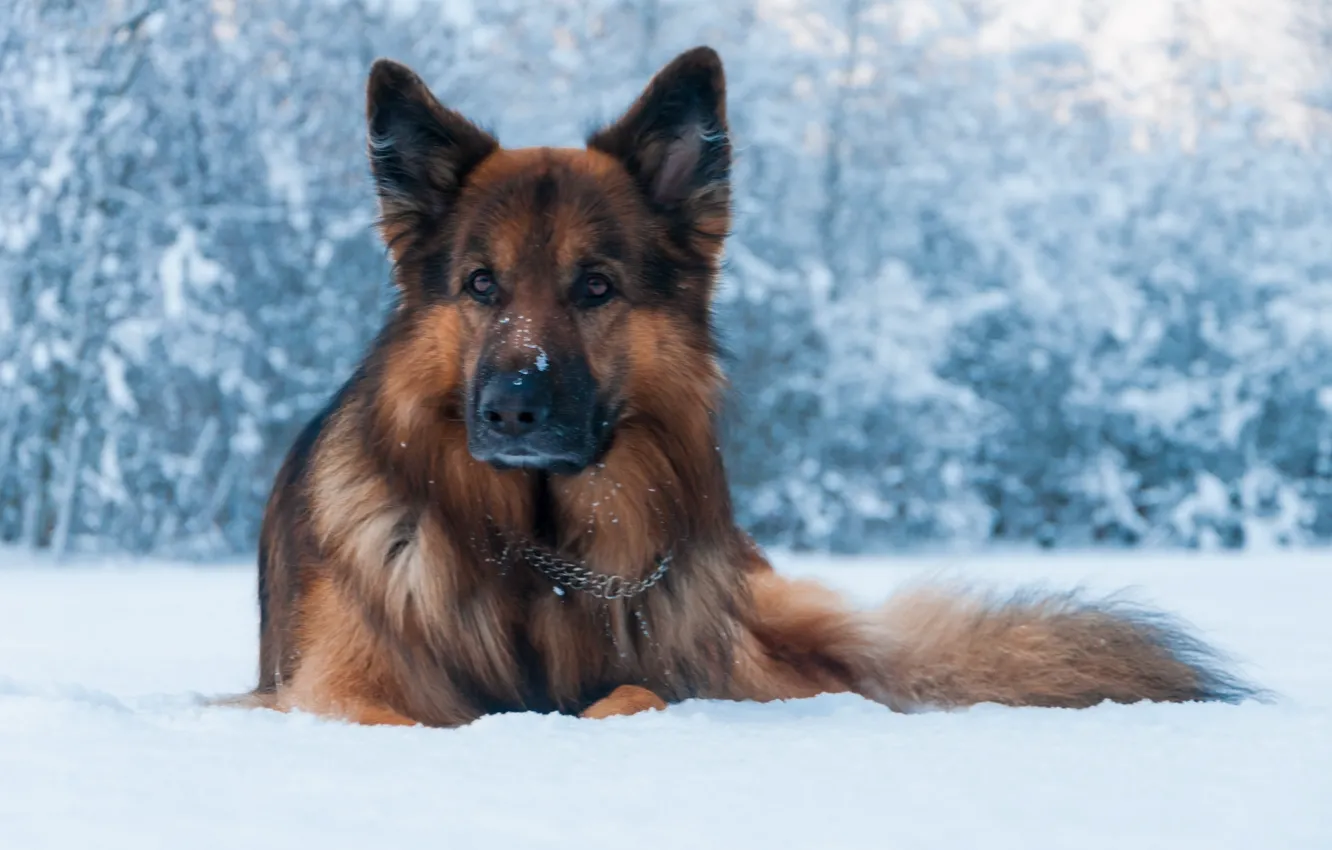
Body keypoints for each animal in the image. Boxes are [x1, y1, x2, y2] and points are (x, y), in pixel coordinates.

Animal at [242, 44, 1257, 724]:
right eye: (481, 285)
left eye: (595, 286)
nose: (510, 410)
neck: (537, 558)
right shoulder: (326, 692)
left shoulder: (695, 677)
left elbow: (636, 695)